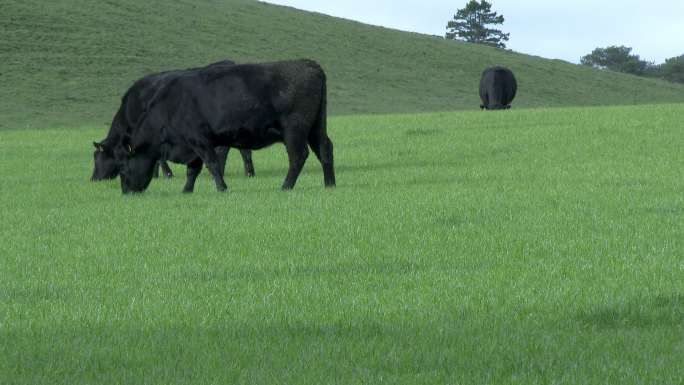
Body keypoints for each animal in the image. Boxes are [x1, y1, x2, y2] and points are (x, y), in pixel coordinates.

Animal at [116, 59, 336, 194]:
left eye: (123, 168)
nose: (125, 191)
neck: (171, 105)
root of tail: (310, 64)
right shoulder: (194, 145)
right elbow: (193, 169)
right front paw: (187, 190)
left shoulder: (199, 140)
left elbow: (212, 164)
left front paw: (222, 188)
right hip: (316, 127)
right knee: (325, 149)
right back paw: (329, 184)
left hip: (294, 130)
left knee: (298, 155)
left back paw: (286, 186)